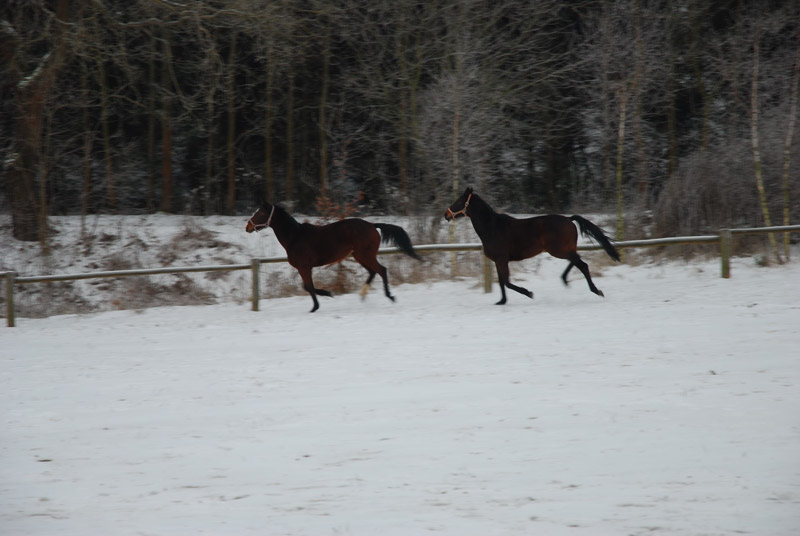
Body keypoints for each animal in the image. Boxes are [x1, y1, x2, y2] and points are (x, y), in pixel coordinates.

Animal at [245, 200, 422, 310]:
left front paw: (317, 305)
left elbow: (309, 287)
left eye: (261, 213)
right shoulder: (305, 268)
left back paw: (390, 296)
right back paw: (363, 295)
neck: (295, 237)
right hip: (359, 256)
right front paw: (326, 295)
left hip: (366, 255)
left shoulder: (304, 267)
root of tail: (372, 225)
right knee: (373, 272)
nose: (247, 227)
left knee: (382, 270)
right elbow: (307, 286)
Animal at [444, 187, 620, 306]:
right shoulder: (498, 261)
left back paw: (596, 291)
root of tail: (569, 219)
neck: (492, 228)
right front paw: (501, 301)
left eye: (459, 201)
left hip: (559, 250)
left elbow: (507, 282)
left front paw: (529, 293)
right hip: (564, 250)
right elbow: (501, 282)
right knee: (576, 261)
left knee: (582, 265)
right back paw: (565, 280)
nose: (446, 215)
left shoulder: (502, 259)